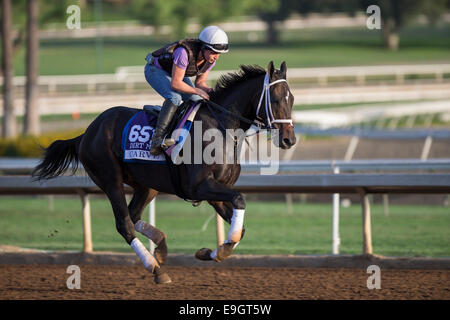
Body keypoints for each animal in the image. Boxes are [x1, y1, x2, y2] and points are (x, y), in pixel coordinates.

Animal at [33, 60, 298, 282]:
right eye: (275, 99)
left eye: (292, 99)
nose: (289, 139)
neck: (221, 129)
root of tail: (87, 132)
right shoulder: (199, 186)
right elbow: (240, 201)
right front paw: (219, 250)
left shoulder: (216, 191)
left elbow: (239, 228)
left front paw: (210, 252)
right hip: (110, 179)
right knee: (124, 224)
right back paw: (155, 268)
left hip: (146, 185)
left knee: (134, 215)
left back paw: (160, 247)